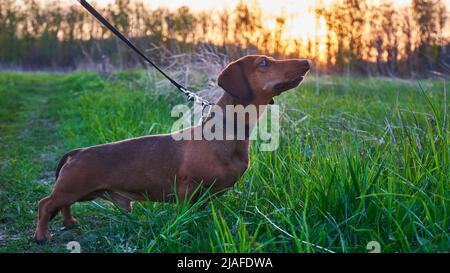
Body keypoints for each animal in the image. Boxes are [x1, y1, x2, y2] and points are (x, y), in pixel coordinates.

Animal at [34, 54, 310, 241]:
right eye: (263, 63)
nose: (306, 61)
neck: (226, 132)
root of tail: (77, 152)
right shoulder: (187, 189)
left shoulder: (208, 195)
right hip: (72, 187)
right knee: (46, 203)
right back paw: (42, 234)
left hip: (81, 192)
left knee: (62, 205)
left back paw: (70, 222)